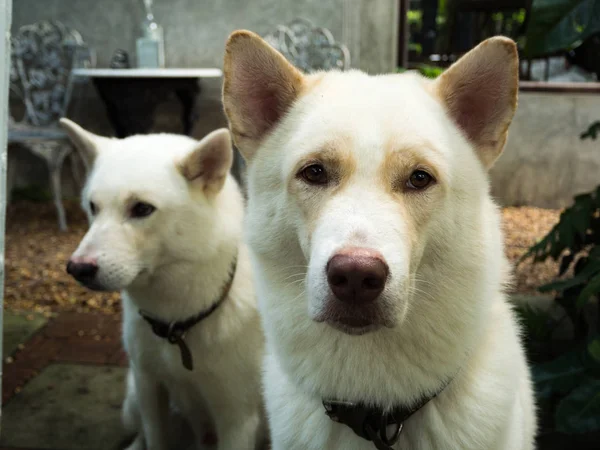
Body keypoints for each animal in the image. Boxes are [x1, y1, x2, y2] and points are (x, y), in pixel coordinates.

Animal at [62, 119, 266, 450]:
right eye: (93, 206)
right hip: (132, 403)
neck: (177, 325)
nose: (77, 268)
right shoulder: (149, 388)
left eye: (142, 209)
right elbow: (155, 437)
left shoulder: (237, 416)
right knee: (141, 434)